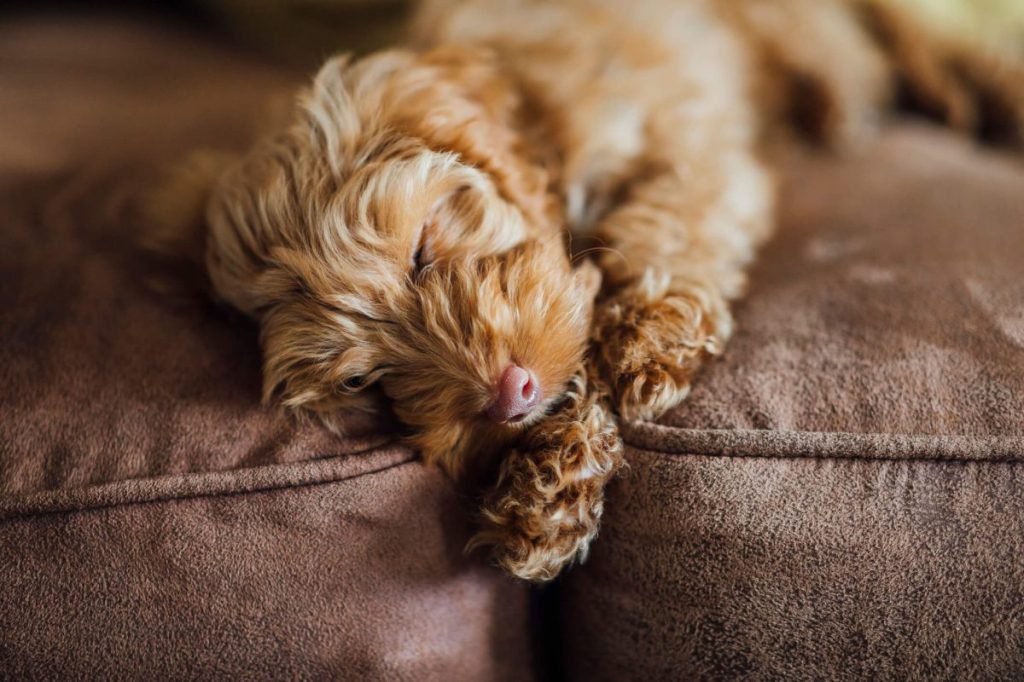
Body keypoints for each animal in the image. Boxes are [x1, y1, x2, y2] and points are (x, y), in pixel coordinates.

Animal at [146, 0, 1024, 577]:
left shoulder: (688, 144)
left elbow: (665, 234)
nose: (506, 395)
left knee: (897, 41)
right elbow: (576, 353)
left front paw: (645, 339)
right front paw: (553, 491)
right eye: (364, 379)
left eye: (422, 250)